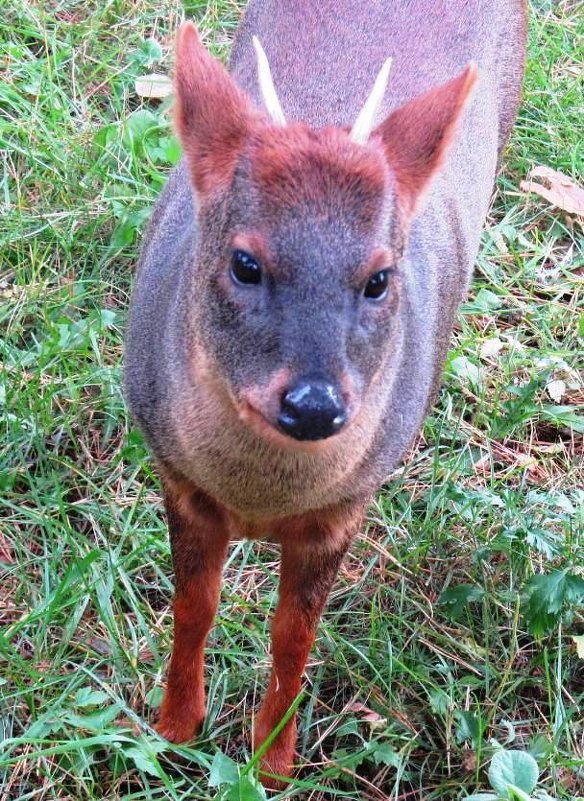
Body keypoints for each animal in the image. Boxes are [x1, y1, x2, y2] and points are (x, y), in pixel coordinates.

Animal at [125, 0, 528, 788]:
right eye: (244, 263)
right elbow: (194, 607)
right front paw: (175, 729)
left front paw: (273, 760)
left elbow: (293, 635)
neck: (260, 496)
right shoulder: (178, 473)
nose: (314, 404)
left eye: (379, 278)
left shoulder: (343, 508)